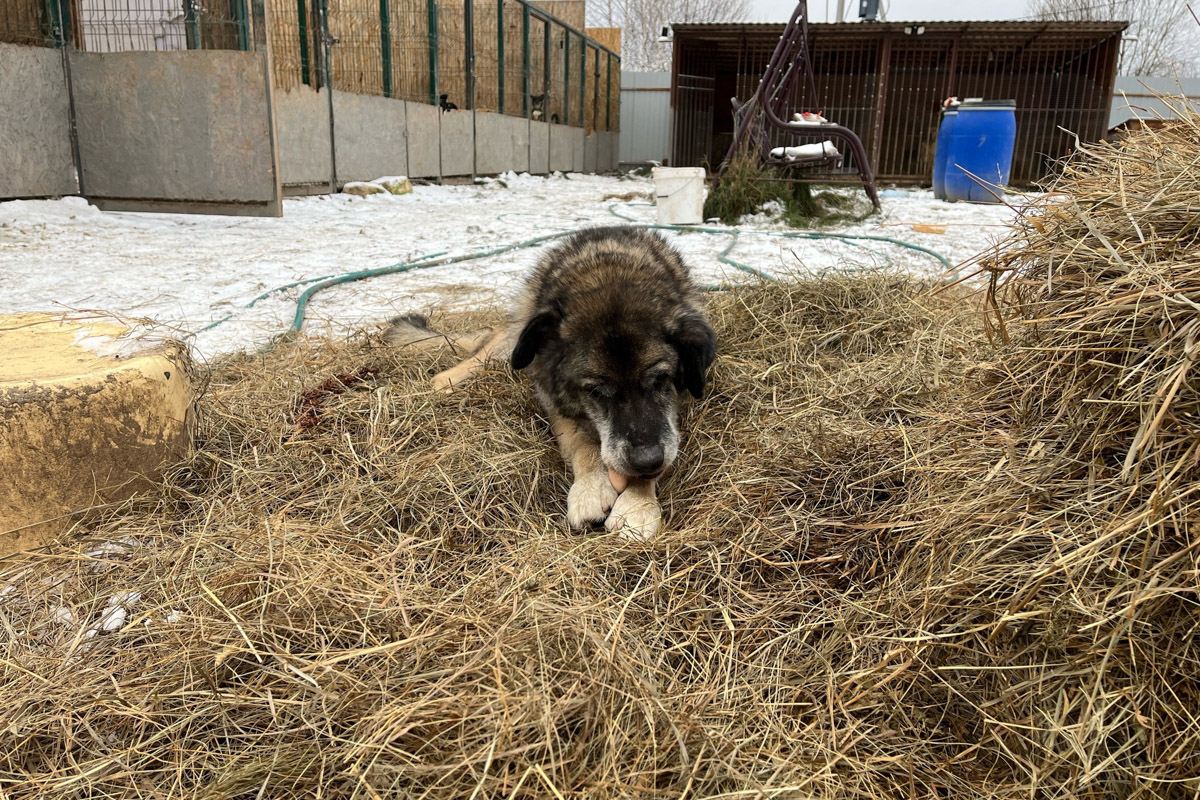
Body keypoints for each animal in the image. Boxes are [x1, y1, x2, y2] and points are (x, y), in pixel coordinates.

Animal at [388, 225, 715, 537]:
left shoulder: (671, 417)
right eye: (595, 391)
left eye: (661, 379)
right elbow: (582, 443)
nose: (647, 461)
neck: (608, 271)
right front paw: (592, 487)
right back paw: (446, 381)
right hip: (512, 341)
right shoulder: (556, 404)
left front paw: (637, 503)